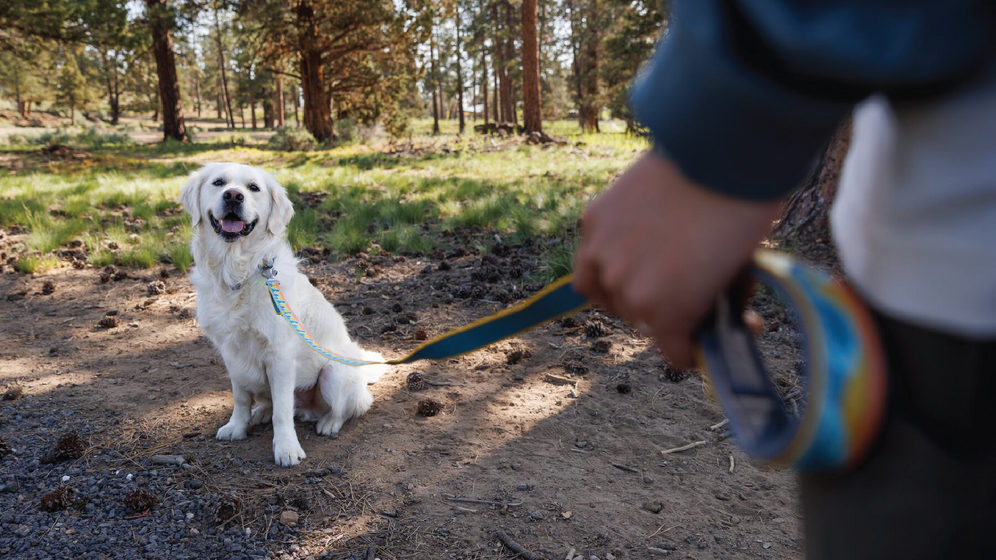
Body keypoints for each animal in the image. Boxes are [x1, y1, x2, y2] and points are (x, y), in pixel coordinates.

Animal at [179, 163, 386, 468]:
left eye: (253, 188)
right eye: (218, 183)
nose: (233, 196)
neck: (237, 272)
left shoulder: (281, 355)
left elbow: (282, 412)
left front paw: (286, 448)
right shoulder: (231, 352)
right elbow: (241, 398)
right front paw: (237, 426)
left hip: (334, 374)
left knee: (344, 408)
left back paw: (329, 423)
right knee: (268, 401)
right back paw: (260, 413)